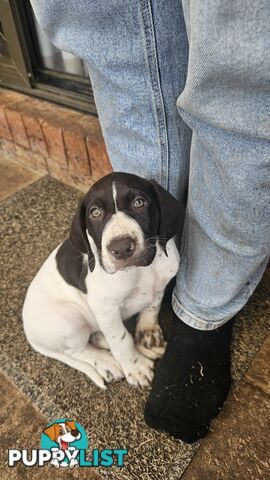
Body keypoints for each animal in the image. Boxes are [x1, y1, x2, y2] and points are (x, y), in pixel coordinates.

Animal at [22, 172, 184, 390]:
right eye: (95, 213)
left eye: (139, 202)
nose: (121, 248)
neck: (142, 271)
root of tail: (28, 331)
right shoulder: (105, 307)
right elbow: (121, 340)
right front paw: (136, 368)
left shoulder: (160, 285)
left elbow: (151, 309)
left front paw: (147, 335)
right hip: (70, 320)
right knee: (77, 349)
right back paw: (108, 362)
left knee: (98, 335)